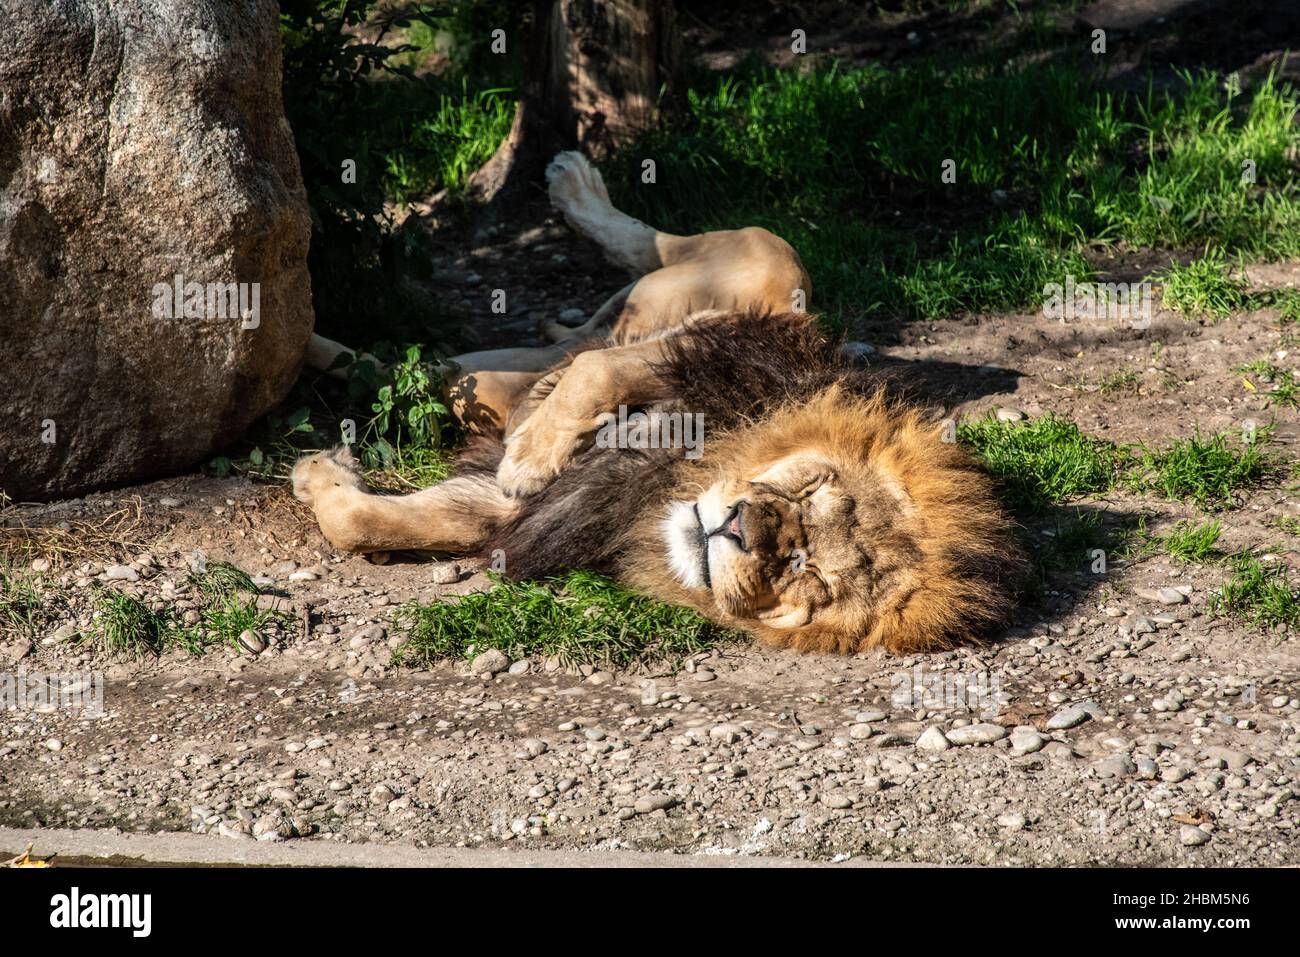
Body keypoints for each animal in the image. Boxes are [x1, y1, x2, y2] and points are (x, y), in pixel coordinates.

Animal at [295, 153, 1024, 655]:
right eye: (808, 491)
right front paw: (531, 455)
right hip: (770, 269)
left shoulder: (522, 508)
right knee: (660, 252)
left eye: (806, 572)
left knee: (419, 368)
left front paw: (321, 476)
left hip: (507, 374)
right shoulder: (708, 352)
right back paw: (574, 184)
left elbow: (376, 523)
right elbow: (595, 376)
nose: (738, 529)